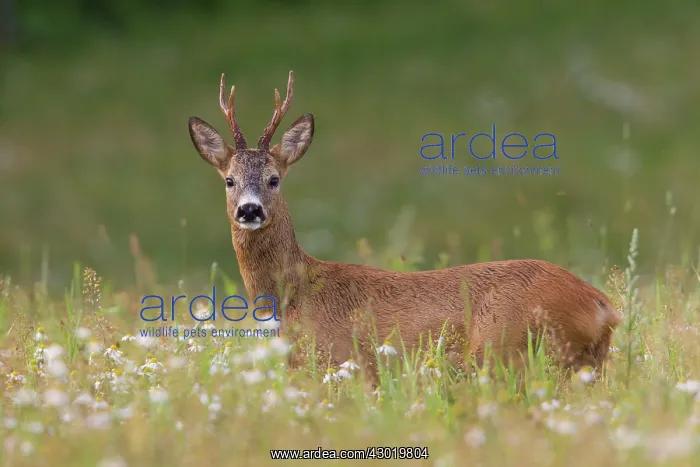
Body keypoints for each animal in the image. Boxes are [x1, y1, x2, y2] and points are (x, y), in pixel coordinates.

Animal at [187, 70, 623, 381]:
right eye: (229, 180)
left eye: (274, 179)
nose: (250, 210)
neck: (294, 294)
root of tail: (603, 307)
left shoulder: (339, 364)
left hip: (510, 350)